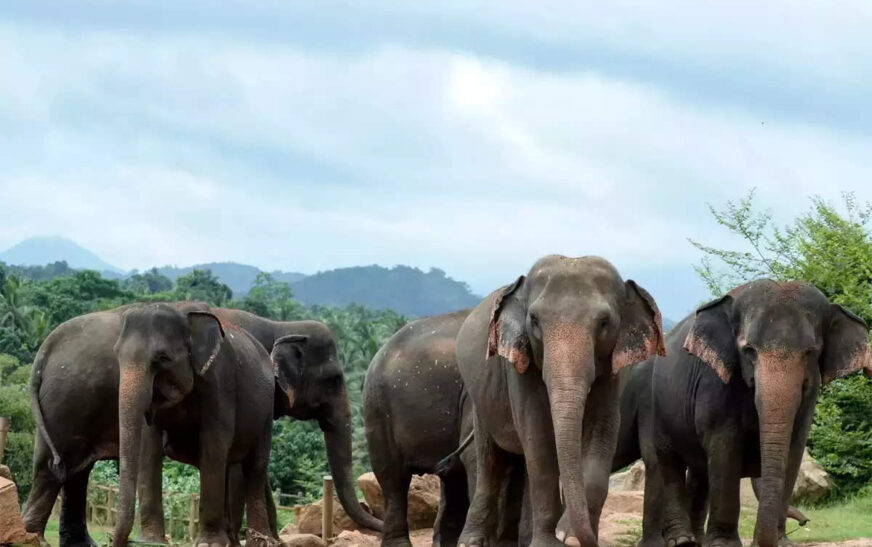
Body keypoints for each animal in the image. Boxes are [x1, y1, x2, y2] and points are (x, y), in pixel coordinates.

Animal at [23, 302, 276, 547]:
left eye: (162, 358)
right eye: (117, 356)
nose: (118, 541)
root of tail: (46, 347)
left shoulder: (220, 381)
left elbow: (214, 446)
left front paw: (209, 544)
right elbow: (149, 446)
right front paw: (150, 541)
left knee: (255, 465)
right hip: (64, 402)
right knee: (57, 467)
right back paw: (36, 538)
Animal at [454, 256, 664, 547]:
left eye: (604, 322)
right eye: (534, 320)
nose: (582, 538)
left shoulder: (613, 373)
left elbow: (602, 432)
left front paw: (571, 537)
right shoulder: (520, 366)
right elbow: (538, 436)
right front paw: (551, 541)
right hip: (480, 402)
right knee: (489, 460)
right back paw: (471, 541)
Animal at [632, 282, 872, 547]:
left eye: (811, 352)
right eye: (748, 350)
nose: (805, 522)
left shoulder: (810, 395)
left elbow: (793, 450)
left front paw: (782, 542)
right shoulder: (716, 383)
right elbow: (725, 448)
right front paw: (724, 544)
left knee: (700, 472)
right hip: (657, 406)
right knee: (669, 462)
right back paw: (683, 541)